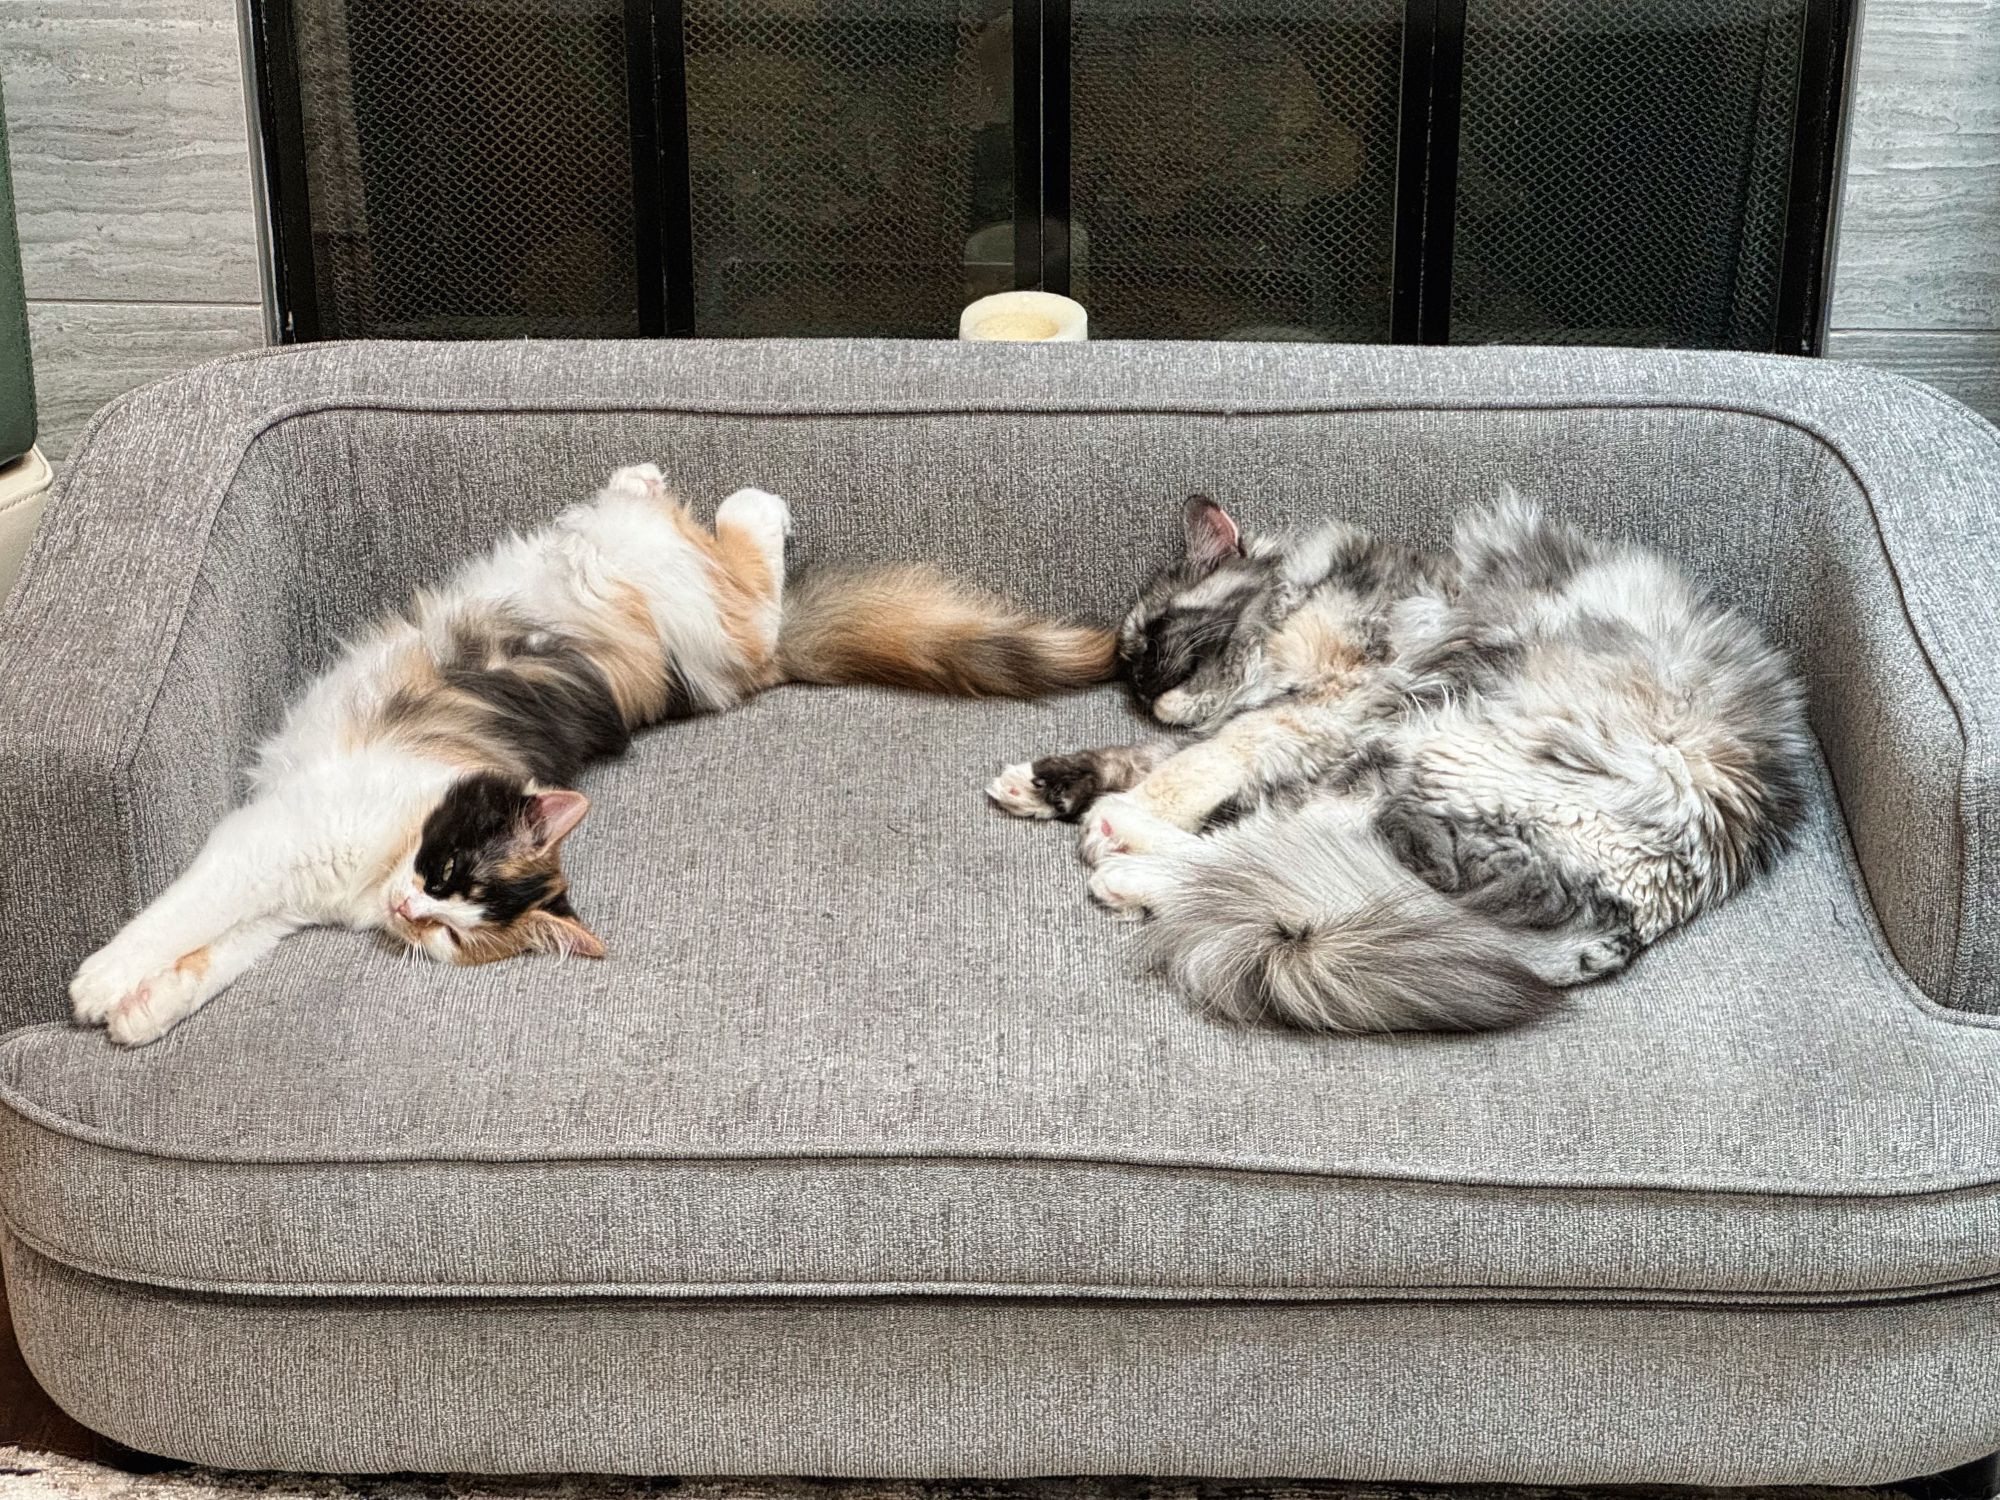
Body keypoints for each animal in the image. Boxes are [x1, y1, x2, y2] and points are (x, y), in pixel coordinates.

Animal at [74, 468, 1112, 1048]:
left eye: (454, 933)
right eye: (447, 872)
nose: (412, 911)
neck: (373, 873)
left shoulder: (283, 869)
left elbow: (207, 943)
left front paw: (117, 1003)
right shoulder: (276, 843)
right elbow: (187, 922)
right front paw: (112, 988)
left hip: (696, 619)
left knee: (748, 588)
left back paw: (717, 498)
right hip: (672, 592)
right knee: (726, 561)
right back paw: (690, 486)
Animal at [984, 494, 1816, 1032]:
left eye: (1155, 638)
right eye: (1126, 671)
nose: (1148, 694)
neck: (1302, 594)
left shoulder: (1331, 703)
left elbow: (1199, 762)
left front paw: (1118, 803)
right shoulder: (1303, 716)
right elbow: (1157, 756)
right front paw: (1042, 784)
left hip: (1422, 747)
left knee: (1249, 855)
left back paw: (1120, 855)